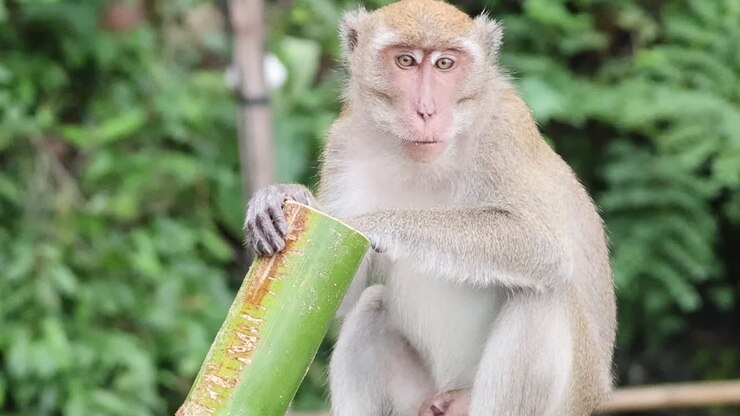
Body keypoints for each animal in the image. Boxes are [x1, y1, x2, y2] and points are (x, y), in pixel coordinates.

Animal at [244, 0, 616, 415]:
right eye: (405, 60)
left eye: (444, 64)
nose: (426, 111)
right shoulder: (345, 142)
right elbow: (338, 292)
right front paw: (281, 198)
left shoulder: (505, 130)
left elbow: (542, 244)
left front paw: (374, 224)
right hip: (419, 396)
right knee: (370, 308)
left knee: (545, 296)